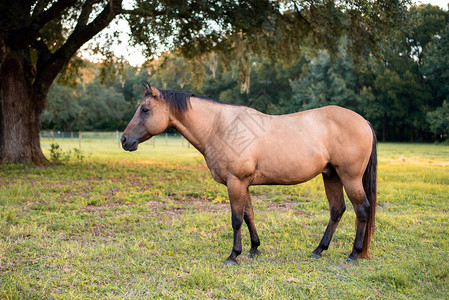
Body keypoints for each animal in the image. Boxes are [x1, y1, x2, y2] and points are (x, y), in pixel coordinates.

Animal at [121, 83, 376, 264]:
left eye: (145, 109)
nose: (124, 140)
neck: (220, 127)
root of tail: (363, 121)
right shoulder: (243, 184)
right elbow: (248, 215)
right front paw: (254, 249)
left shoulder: (236, 182)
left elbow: (236, 219)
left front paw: (233, 255)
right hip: (331, 176)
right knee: (337, 210)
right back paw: (318, 250)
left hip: (349, 177)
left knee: (361, 209)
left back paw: (354, 254)